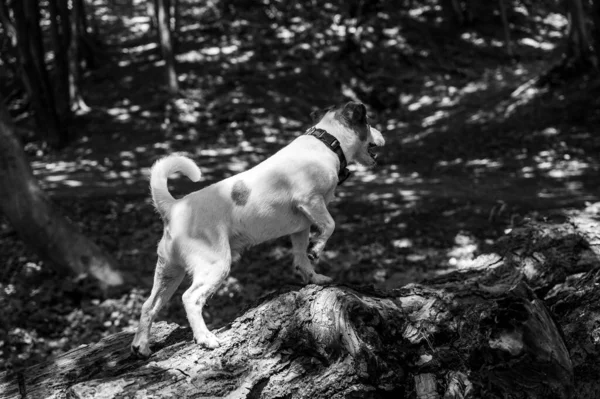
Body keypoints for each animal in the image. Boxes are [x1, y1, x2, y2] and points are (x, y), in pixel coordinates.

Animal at [131, 101, 384, 358]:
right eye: (368, 123)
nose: (381, 134)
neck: (327, 142)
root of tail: (174, 207)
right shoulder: (311, 201)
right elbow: (330, 226)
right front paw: (317, 249)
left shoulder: (301, 226)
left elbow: (301, 258)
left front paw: (313, 276)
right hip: (215, 265)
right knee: (190, 298)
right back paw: (205, 338)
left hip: (169, 272)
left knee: (149, 305)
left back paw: (141, 345)